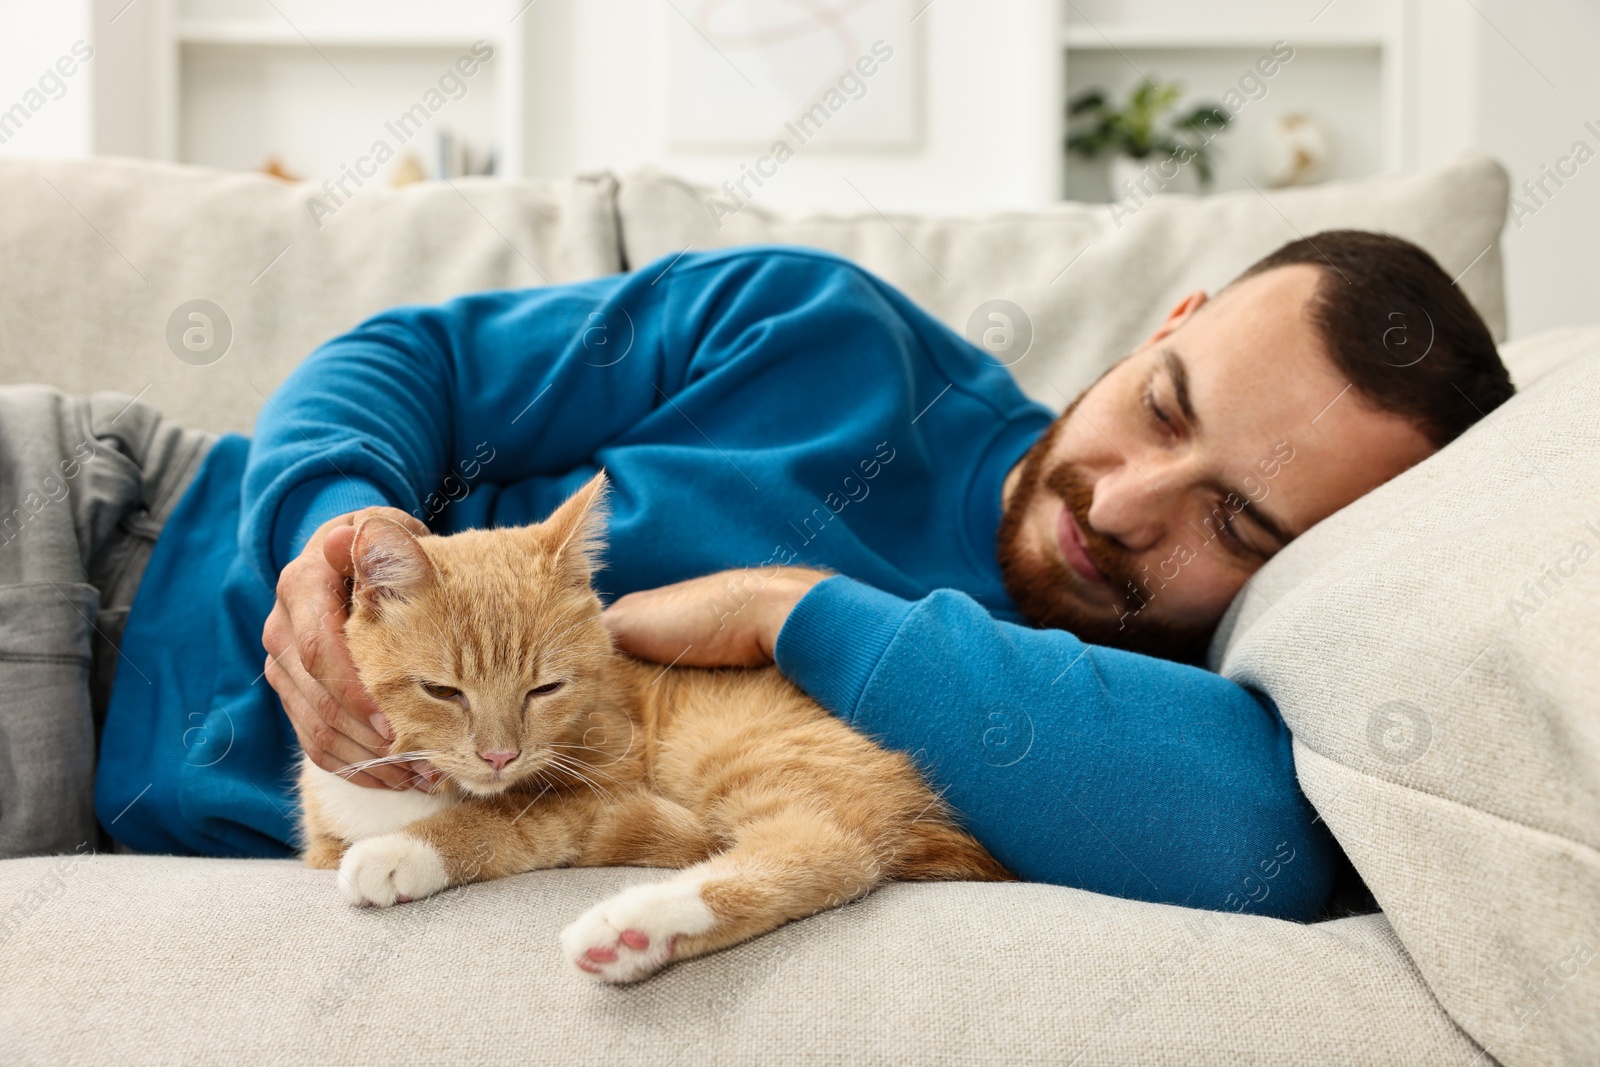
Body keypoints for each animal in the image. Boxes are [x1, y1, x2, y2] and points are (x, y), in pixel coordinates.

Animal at [294, 476, 1004, 985]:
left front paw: (402, 851)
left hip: (739, 751)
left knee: (828, 850)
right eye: (442, 691)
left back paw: (634, 928)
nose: (500, 755)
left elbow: (507, 821)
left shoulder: (598, 794)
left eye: (544, 689)